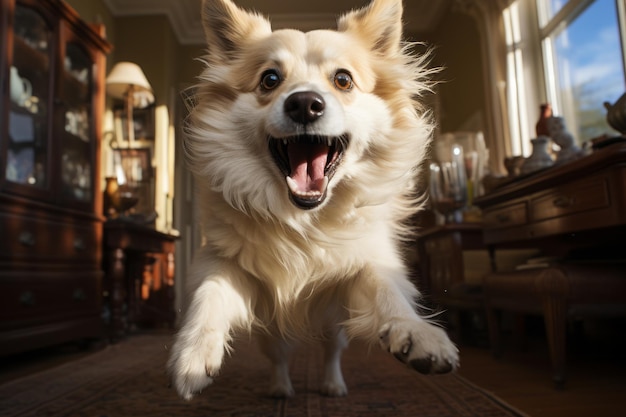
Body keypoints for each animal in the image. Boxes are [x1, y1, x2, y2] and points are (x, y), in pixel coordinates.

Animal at [167, 0, 458, 398]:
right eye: (270, 80)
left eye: (343, 80)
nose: (304, 103)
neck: (303, 219)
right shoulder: (226, 262)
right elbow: (208, 293)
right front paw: (193, 352)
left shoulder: (360, 269)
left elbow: (385, 289)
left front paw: (414, 331)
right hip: (272, 334)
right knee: (279, 356)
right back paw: (280, 387)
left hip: (334, 327)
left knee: (330, 352)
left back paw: (333, 384)